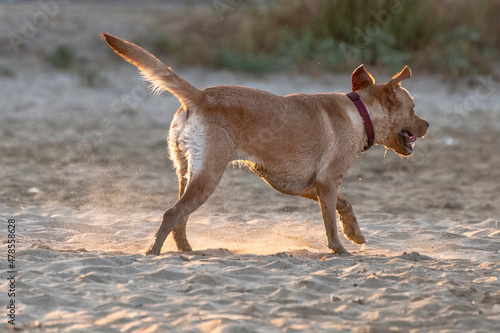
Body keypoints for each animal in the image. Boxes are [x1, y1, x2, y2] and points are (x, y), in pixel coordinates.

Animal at [102, 33, 430, 254]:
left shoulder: (309, 185)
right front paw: (339, 248)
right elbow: (330, 222)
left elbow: (344, 204)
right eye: (414, 108)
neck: (359, 113)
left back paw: (186, 252)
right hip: (208, 176)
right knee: (172, 214)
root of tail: (200, 96)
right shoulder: (326, 182)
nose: (427, 125)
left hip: (186, 173)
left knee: (179, 218)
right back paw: (153, 252)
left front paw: (355, 233)